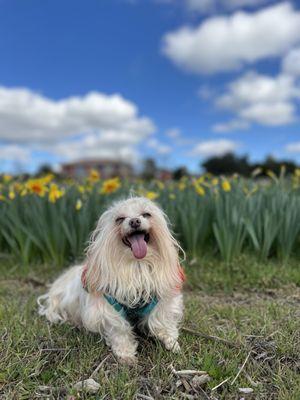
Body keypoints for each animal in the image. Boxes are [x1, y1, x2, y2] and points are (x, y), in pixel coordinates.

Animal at [38, 195, 184, 364]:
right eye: (119, 219)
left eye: (146, 214)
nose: (134, 221)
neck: (137, 266)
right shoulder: (108, 307)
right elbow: (119, 330)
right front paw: (126, 354)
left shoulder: (162, 298)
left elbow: (162, 319)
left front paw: (171, 342)